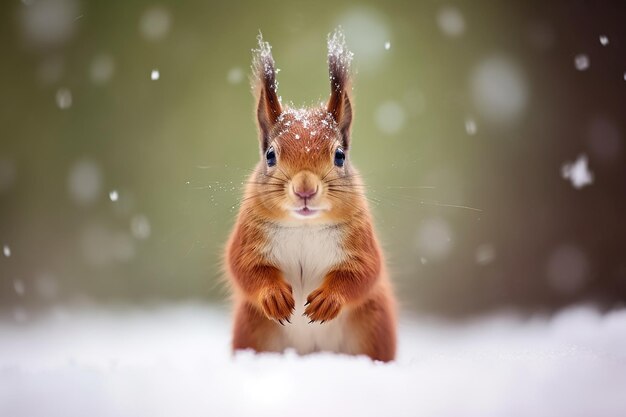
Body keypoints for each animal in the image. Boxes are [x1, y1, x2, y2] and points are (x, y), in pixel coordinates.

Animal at [224, 29, 394, 360]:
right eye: (270, 155)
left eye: (339, 156)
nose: (305, 189)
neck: (304, 226)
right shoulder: (248, 236)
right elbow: (242, 266)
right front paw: (273, 295)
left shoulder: (360, 240)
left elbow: (365, 272)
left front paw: (329, 300)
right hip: (253, 329)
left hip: (372, 326)